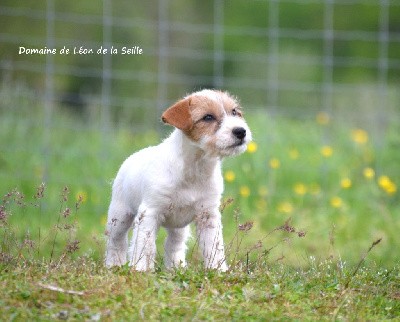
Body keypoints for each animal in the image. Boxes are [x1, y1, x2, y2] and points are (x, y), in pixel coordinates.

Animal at [104, 89, 252, 270]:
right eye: (208, 117)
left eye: (234, 112)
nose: (241, 131)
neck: (195, 167)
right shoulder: (150, 213)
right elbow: (144, 246)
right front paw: (141, 270)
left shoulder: (208, 215)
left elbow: (214, 248)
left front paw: (218, 270)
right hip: (119, 217)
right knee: (116, 242)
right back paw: (113, 265)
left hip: (178, 228)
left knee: (174, 245)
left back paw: (175, 268)